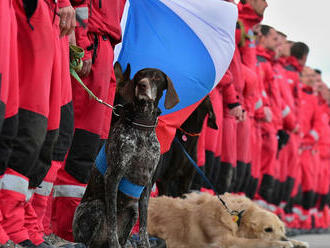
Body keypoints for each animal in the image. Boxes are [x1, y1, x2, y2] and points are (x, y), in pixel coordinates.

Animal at [73, 62, 179, 248]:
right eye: (140, 76)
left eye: (156, 78)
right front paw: (115, 243)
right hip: (95, 207)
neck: (142, 125)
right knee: (90, 238)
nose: (142, 85)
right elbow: (112, 220)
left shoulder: (147, 182)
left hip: (132, 211)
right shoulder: (113, 175)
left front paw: (145, 244)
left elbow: (144, 225)